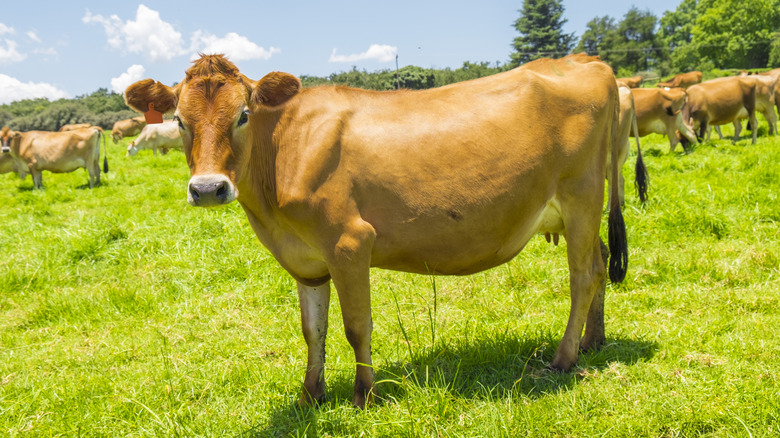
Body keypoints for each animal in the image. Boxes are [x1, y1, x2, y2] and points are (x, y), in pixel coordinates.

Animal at [125, 53, 632, 408]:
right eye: (179, 121)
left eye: (242, 115)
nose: (208, 188)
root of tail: (587, 61)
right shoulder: (306, 260)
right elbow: (313, 330)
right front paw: (311, 395)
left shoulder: (349, 243)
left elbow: (356, 325)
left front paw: (364, 394)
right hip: (581, 211)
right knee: (601, 262)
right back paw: (593, 341)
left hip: (582, 196)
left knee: (583, 275)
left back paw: (564, 358)